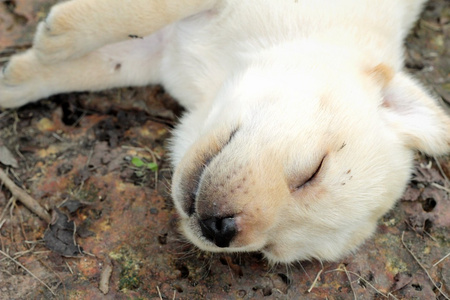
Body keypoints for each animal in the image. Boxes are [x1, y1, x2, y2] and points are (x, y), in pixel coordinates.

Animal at [0, 0, 450, 262]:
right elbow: (149, 9)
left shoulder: (156, 53)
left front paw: (17, 78)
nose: (220, 231)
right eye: (313, 170)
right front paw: (59, 37)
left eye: (270, 251)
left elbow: (101, 64)